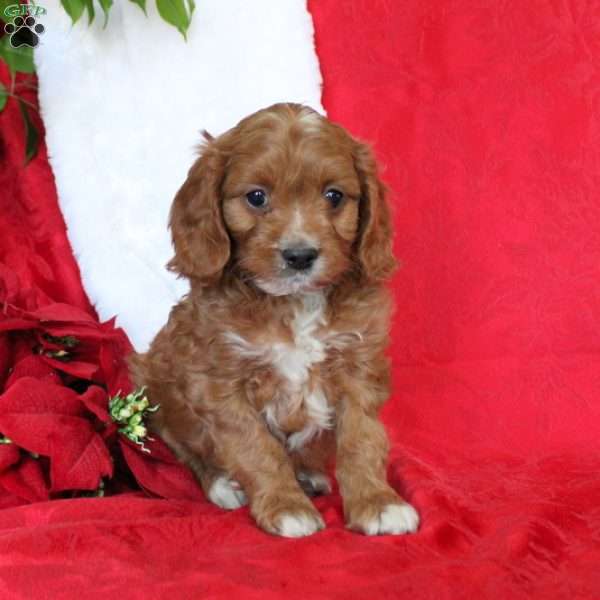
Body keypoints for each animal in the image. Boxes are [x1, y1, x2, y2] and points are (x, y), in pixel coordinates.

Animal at [129, 103, 420, 540]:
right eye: (256, 197)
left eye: (334, 196)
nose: (299, 255)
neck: (291, 303)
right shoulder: (219, 381)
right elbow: (256, 448)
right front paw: (286, 505)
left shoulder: (357, 366)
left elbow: (362, 440)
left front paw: (378, 502)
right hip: (158, 391)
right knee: (190, 451)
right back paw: (223, 483)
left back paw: (309, 474)